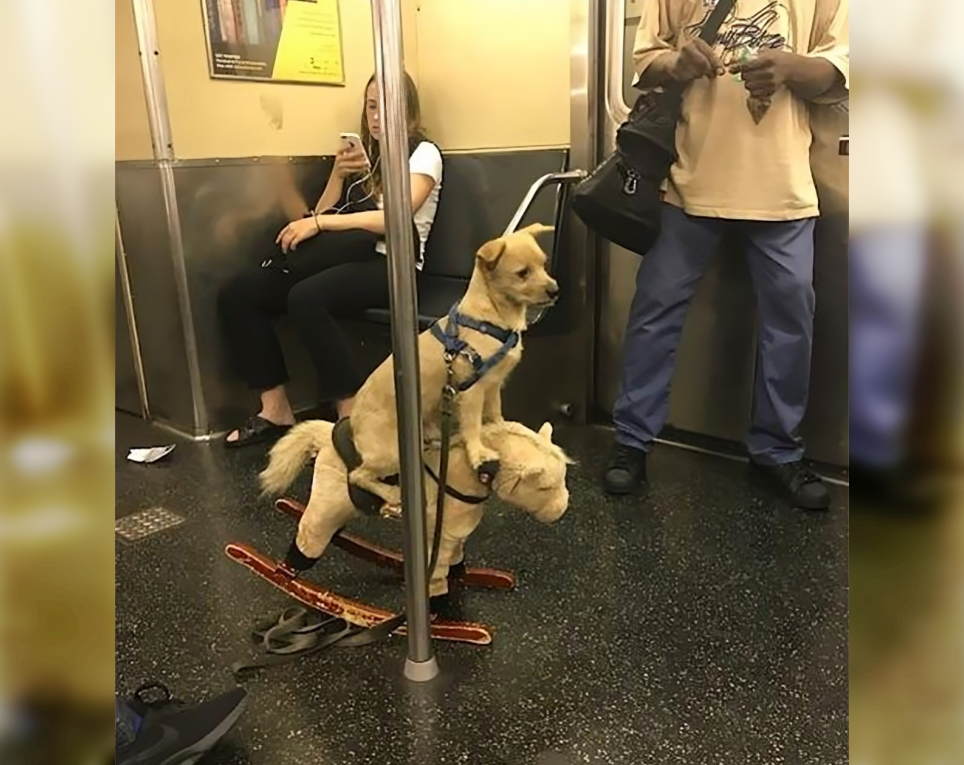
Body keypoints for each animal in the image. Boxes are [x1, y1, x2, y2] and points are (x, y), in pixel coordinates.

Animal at [346, 221, 556, 508]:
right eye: (522, 273)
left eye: (544, 264)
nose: (555, 290)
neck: (492, 317)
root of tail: (353, 422)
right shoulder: (472, 391)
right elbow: (473, 425)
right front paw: (478, 453)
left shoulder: (494, 385)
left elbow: (495, 413)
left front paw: (503, 430)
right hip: (391, 454)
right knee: (357, 476)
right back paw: (391, 493)